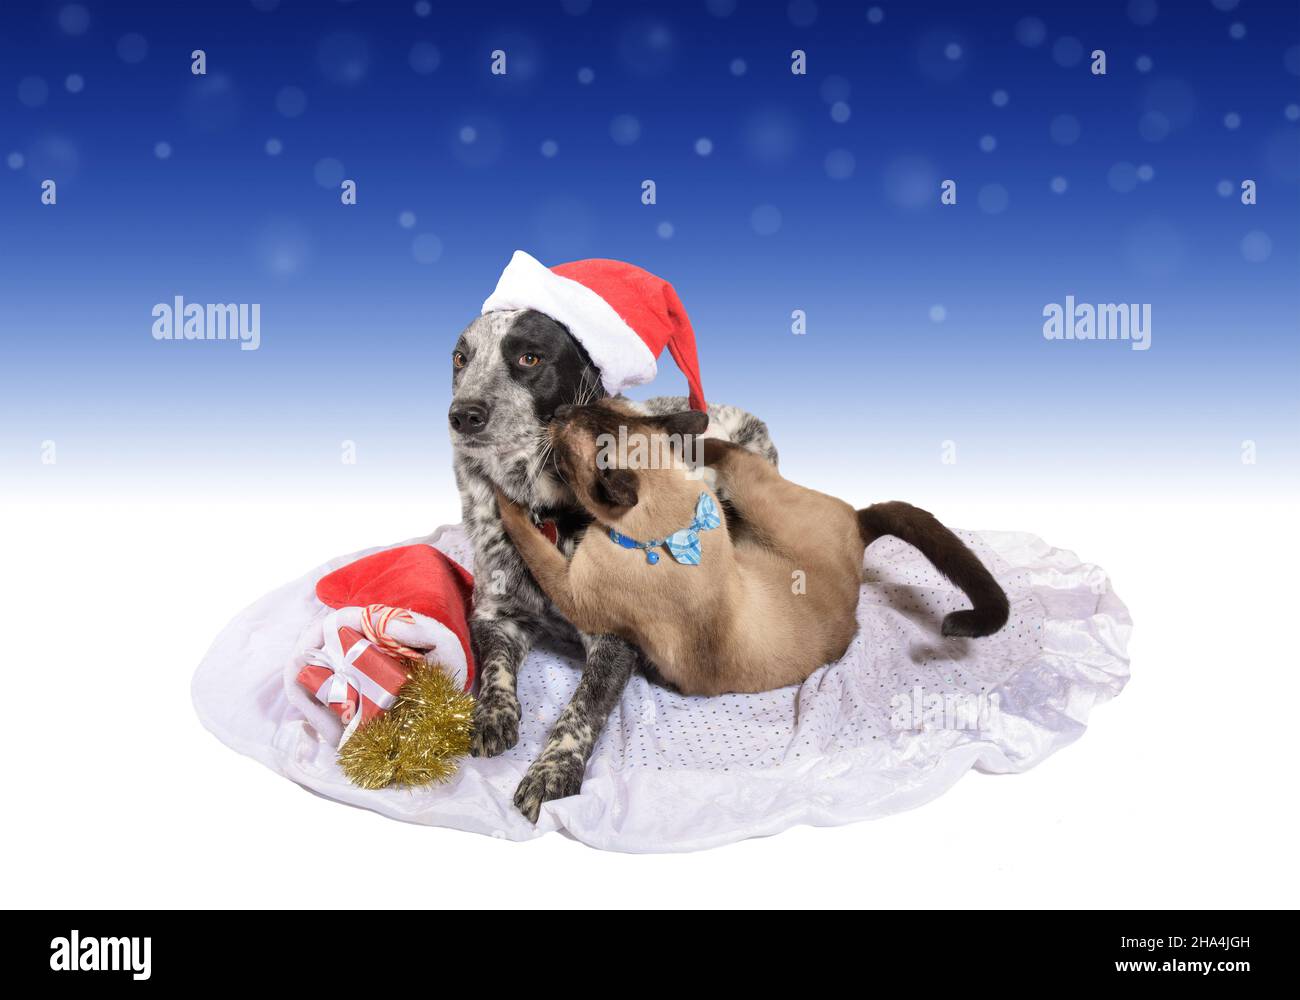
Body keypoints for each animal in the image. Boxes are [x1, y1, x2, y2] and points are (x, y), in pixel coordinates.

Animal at [449, 306, 769, 821]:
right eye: (461, 358)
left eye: (529, 357)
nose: (462, 415)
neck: (547, 512)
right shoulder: (495, 614)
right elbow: (495, 670)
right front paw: (490, 715)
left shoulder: (613, 638)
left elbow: (583, 707)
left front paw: (553, 768)